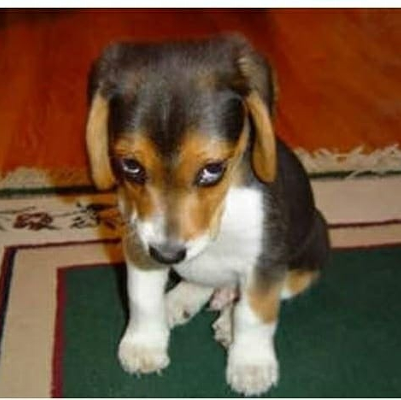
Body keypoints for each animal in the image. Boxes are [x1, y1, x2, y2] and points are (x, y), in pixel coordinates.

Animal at [85, 34, 330, 396]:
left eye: (213, 169)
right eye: (130, 165)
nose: (167, 254)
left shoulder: (266, 259)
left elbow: (255, 313)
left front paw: (251, 364)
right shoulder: (138, 239)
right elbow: (142, 298)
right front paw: (144, 345)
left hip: (314, 245)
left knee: (269, 292)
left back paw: (227, 319)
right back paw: (179, 300)